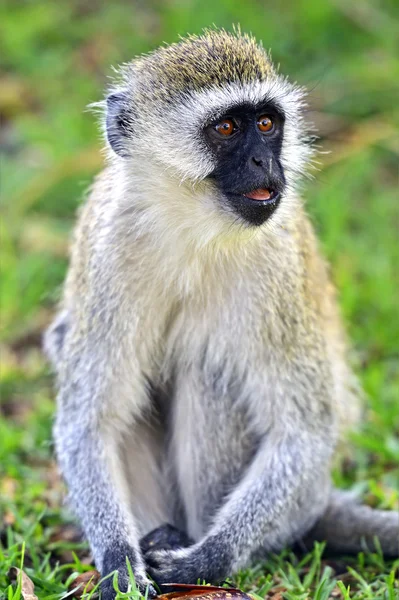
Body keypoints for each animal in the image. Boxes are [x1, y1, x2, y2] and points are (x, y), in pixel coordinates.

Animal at [44, 29, 399, 600]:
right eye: (228, 128)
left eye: (267, 124)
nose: (263, 164)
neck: (192, 229)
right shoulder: (109, 249)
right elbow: (89, 422)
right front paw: (120, 563)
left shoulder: (276, 265)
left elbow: (302, 431)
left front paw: (209, 558)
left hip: (298, 501)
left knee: (207, 369)